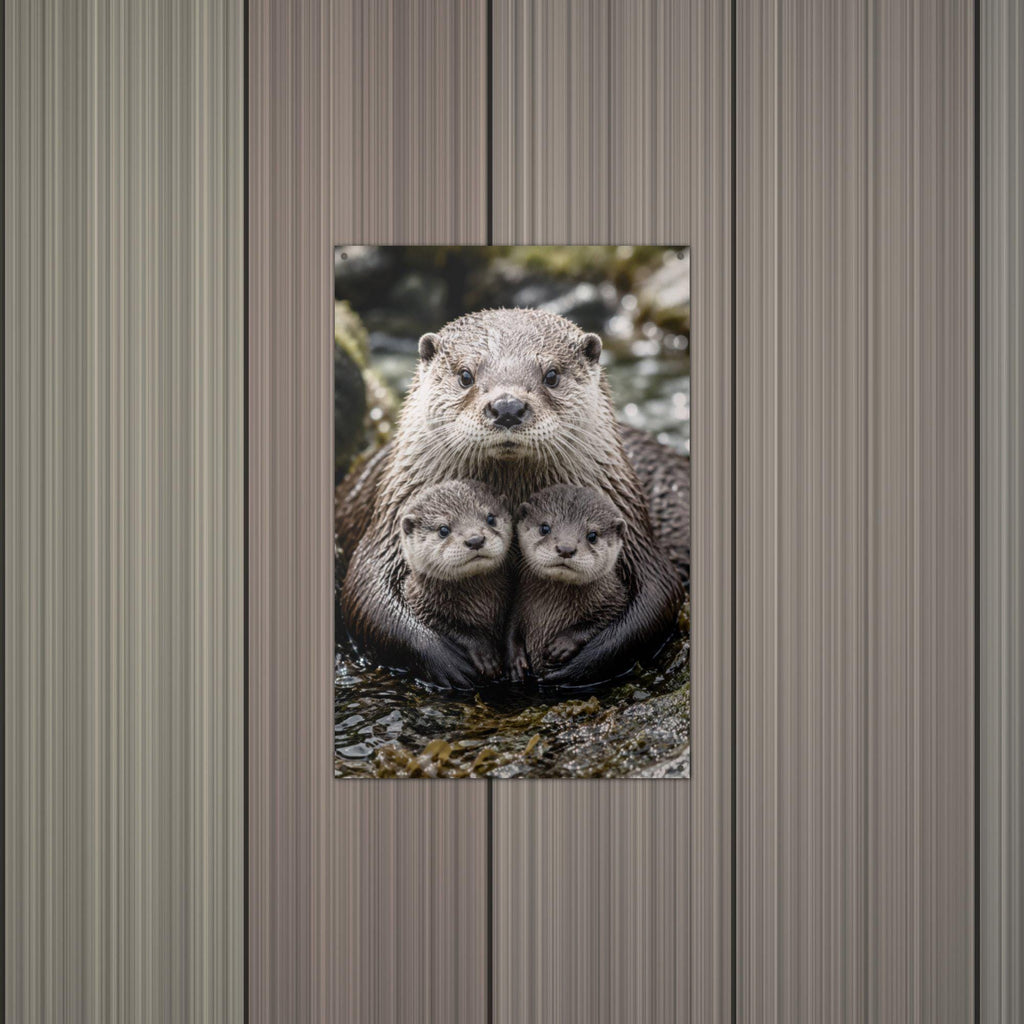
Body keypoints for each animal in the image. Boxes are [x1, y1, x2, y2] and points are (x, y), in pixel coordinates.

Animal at [399, 480, 512, 680]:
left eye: (491, 518)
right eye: (443, 529)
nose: (475, 539)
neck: (482, 605)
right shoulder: (422, 606)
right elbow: (453, 629)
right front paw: (484, 654)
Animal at [506, 485, 629, 681]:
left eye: (592, 535)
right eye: (545, 528)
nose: (565, 548)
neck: (552, 608)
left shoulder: (616, 597)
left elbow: (602, 620)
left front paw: (563, 644)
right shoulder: (518, 601)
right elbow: (511, 628)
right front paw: (515, 660)